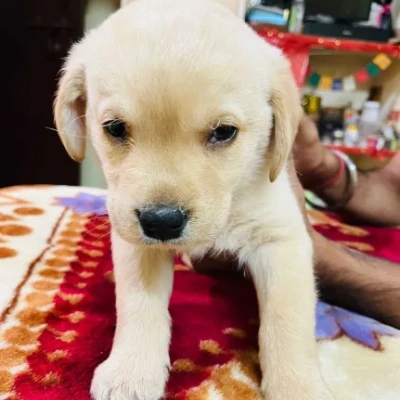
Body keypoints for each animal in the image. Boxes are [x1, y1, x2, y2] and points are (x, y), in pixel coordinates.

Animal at [53, 0, 334, 398]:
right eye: (115, 128)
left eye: (224, 132)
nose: (161, 222)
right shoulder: (135, 243)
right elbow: (139, 302)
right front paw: (131, 371)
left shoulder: (281, 237)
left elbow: (287, 319)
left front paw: (299, 387)